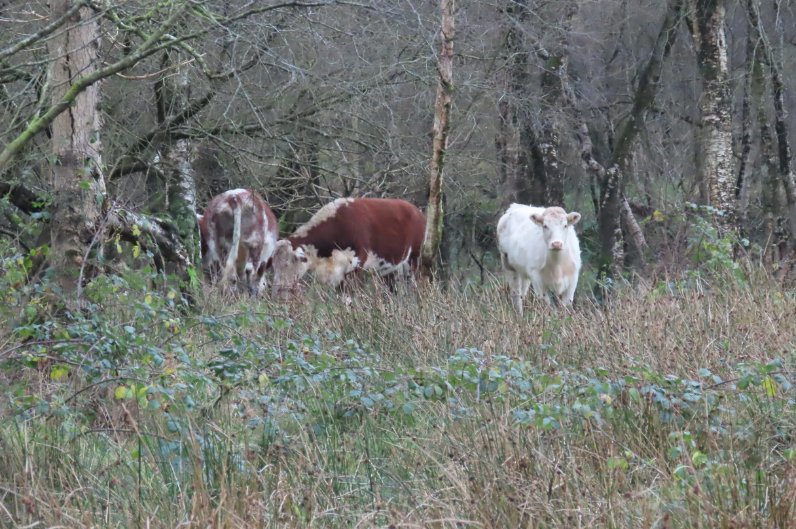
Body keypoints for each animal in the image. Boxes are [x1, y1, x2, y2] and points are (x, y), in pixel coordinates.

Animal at [268, 197, 430, 296]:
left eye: (287, 264)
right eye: (274, 266)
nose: (277, 291)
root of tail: (417, 212)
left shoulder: (354, 266)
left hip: (414, 260)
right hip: (390, 267)